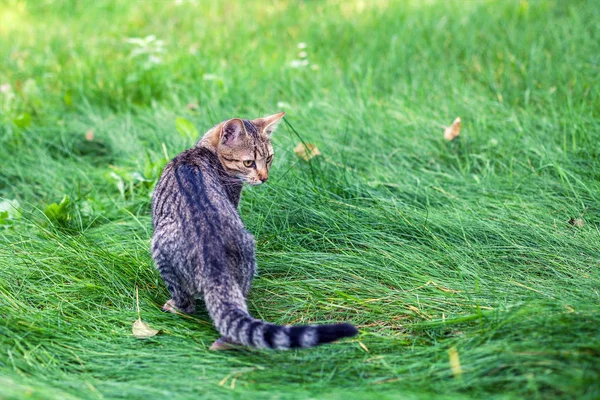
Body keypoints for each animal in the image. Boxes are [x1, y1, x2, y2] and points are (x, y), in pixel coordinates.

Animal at [151, 111, 356, 348]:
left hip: (159, 248)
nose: (264, 178)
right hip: (247, 247)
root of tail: (213, 261)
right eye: (248, 162)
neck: (204, 152)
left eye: (268, 158)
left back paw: (175, 306)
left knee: (187, 303)